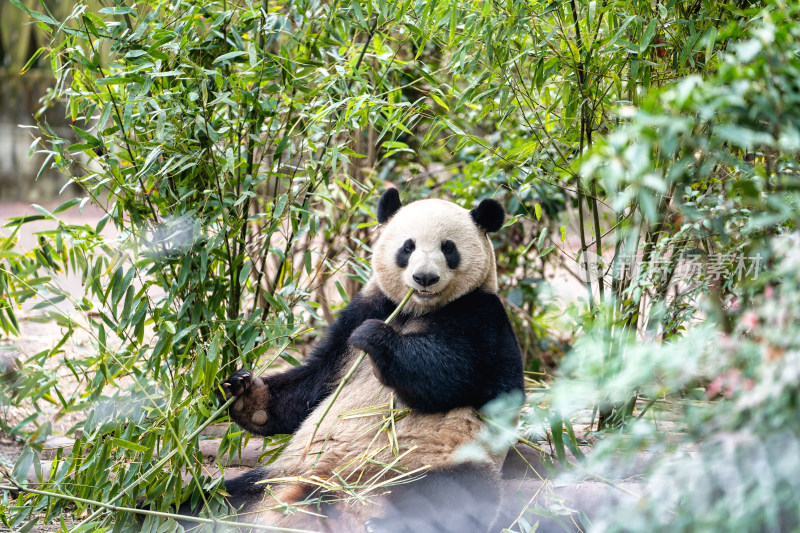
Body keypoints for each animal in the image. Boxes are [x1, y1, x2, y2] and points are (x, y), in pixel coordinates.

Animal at [212, 190, 524, 532]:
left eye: (448, 248)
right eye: (408, 247)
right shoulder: (365, 308)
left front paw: (377, 339)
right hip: (273, 479)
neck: (414, 310)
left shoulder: (482, 316)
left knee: (446, 496)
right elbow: (314, 384)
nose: (424, 278)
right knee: (214, 499)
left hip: (434, 462)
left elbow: (454, 377)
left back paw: (387, 522)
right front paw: (242, 394)